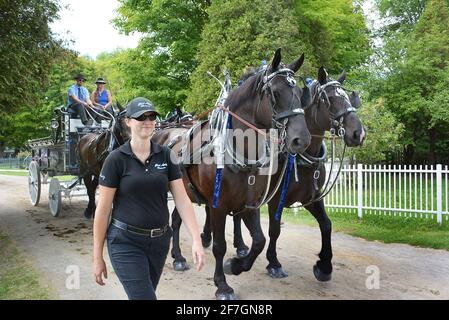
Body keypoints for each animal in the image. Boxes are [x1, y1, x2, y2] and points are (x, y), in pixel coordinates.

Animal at [153, 48, 312, 300]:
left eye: (299, 92)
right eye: (276, 93)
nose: (301, 139)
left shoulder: (250, 204)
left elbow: (259, 241)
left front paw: (236, 265)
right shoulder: (218, 205)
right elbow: (220, 246)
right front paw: (222, 284)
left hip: (186, 193)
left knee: (177, 219)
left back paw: (178, 257)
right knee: (174, 221)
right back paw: (176, 257)